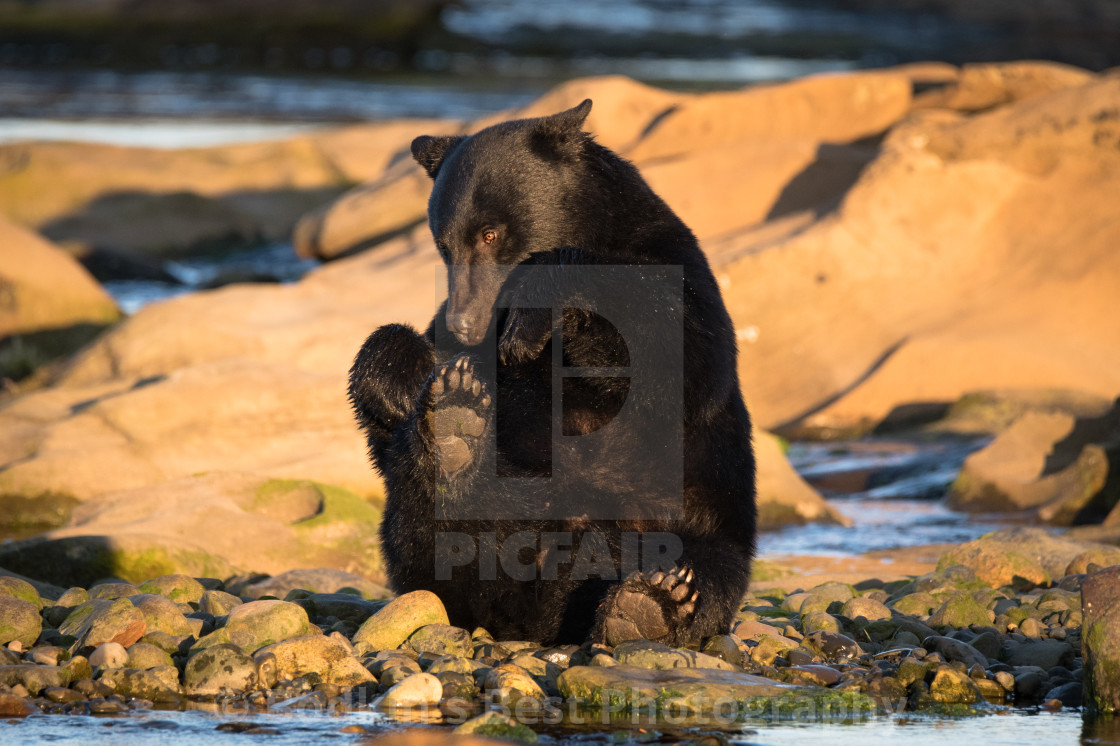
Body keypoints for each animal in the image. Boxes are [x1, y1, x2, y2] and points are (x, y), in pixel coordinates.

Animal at [344, 100, 757, 645]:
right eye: (442, 244)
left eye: (491, 233)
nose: (465, 323)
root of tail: (536, 618)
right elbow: (388, 405)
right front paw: (400, 380)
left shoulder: (678, 271)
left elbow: (679, 352)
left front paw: (532, 315)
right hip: (443, 544)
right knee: (427, 521)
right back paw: (456, 428)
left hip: (698, 519)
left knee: (709, 571)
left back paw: (653, 604)